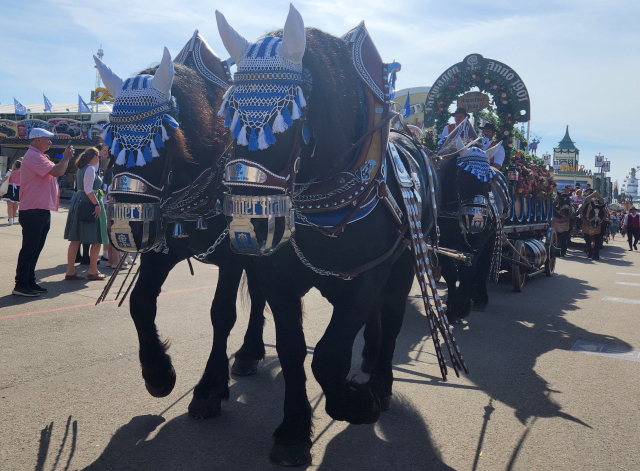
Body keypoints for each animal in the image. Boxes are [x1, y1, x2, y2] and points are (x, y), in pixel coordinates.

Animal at [95, 47, 268, 416]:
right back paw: (250, 351)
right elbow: (140, 302)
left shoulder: (233, 254)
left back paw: (249, 351)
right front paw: (158, 373)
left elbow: (222, 313)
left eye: (159, 142)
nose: (126, 230)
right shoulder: (161, 250)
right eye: (109, 143)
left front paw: (209, 388)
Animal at [212, 9, 442, 466]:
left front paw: (357, 402)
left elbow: (330, 355)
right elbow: (293, 349)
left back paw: (380, 383)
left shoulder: (369, 275)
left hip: (404, 265)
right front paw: (293, 430)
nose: (247, 229)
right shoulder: (278, 279)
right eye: (227, 117)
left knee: (392, 319)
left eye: (287, 119)